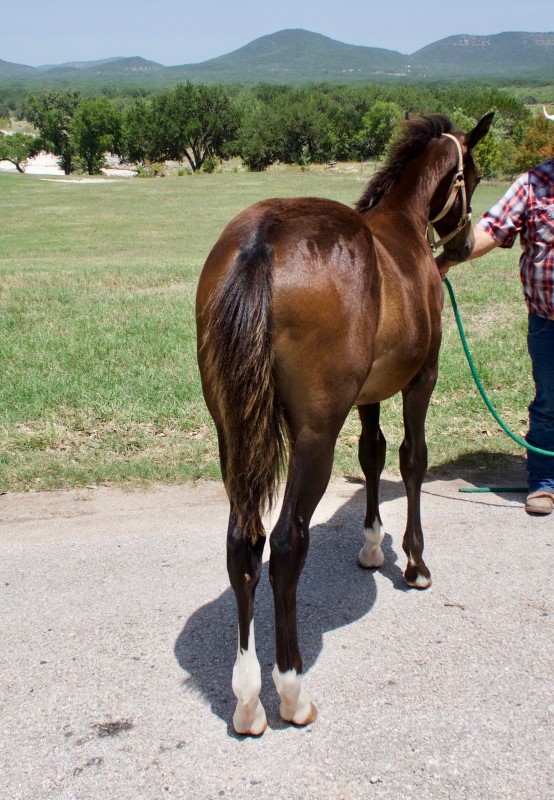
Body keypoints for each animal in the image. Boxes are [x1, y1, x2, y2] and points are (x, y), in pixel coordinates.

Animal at [194, 111, 492, 732]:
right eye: (472, 174)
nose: (462, 243)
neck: (403, 229)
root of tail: (261, 242)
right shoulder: (421, 379)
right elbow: (411, 460)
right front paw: (414, 562)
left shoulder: (370, 393)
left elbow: (373, 454)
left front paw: (373, 544)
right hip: (314, 437)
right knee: (285, 545)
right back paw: (290, 690)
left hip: (231, 435)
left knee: (242, 544)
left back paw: (247, 699)